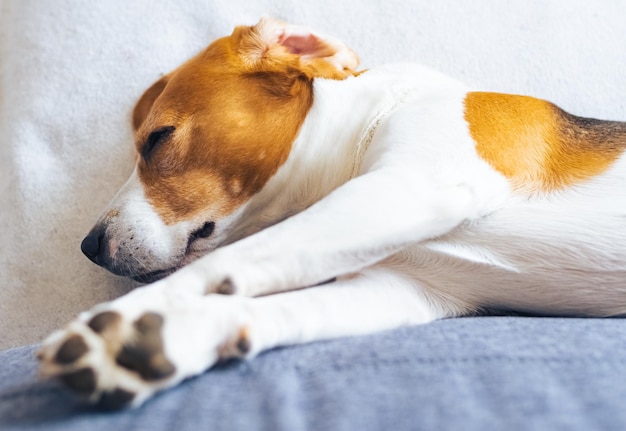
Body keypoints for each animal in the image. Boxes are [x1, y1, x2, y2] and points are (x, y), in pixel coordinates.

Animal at [36, 16, 620, 408]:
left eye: (158, 138)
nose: (90, 246)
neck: (367, 132)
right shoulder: (402, 288)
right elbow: (264, 305)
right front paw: (156, 343)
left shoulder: (411, 187)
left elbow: (224, 265)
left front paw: (123, 320)